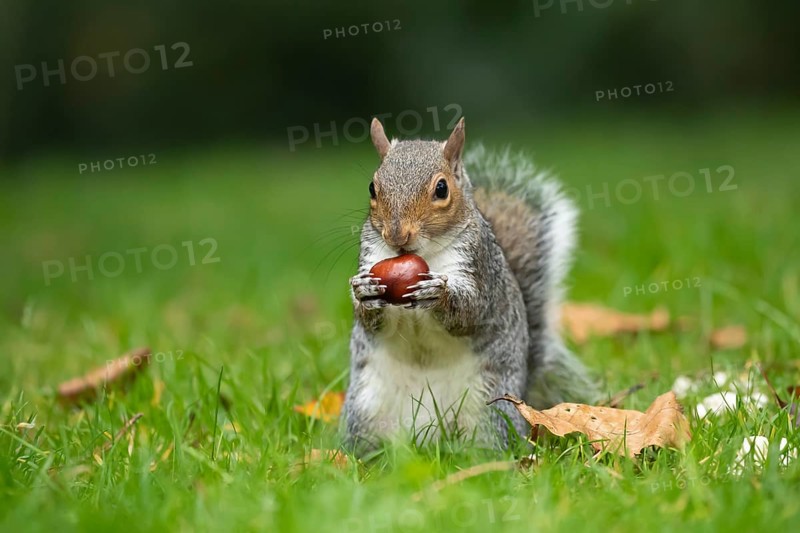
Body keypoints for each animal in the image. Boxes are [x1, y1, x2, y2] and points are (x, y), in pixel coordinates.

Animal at [342, 117, 596, 453]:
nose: (397, 236)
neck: (424, 252)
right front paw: (365, 291)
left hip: (490, 411)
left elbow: (470, 312)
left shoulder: (479, 266)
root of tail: (428, 440)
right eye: (373, 187)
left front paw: (437, 294)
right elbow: (370, 320)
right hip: (366, 406)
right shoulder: (371, 254)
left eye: (441, 188)